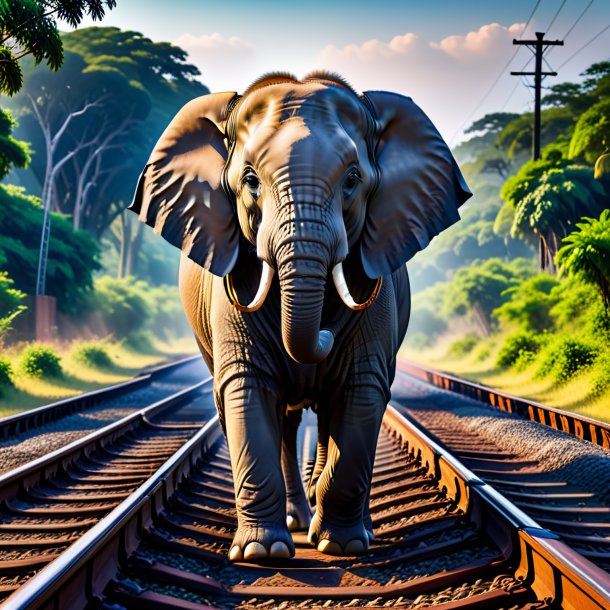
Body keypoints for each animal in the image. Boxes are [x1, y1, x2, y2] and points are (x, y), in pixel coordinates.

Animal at [129, 70, 470, 560]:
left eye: (352, 180)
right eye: (250, 180)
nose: (324, 337)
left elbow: (361, 390)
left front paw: (342, 545)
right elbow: (247, 388)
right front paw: (260, 552)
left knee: (325, 414)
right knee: (285, 420)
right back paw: (294, 521)